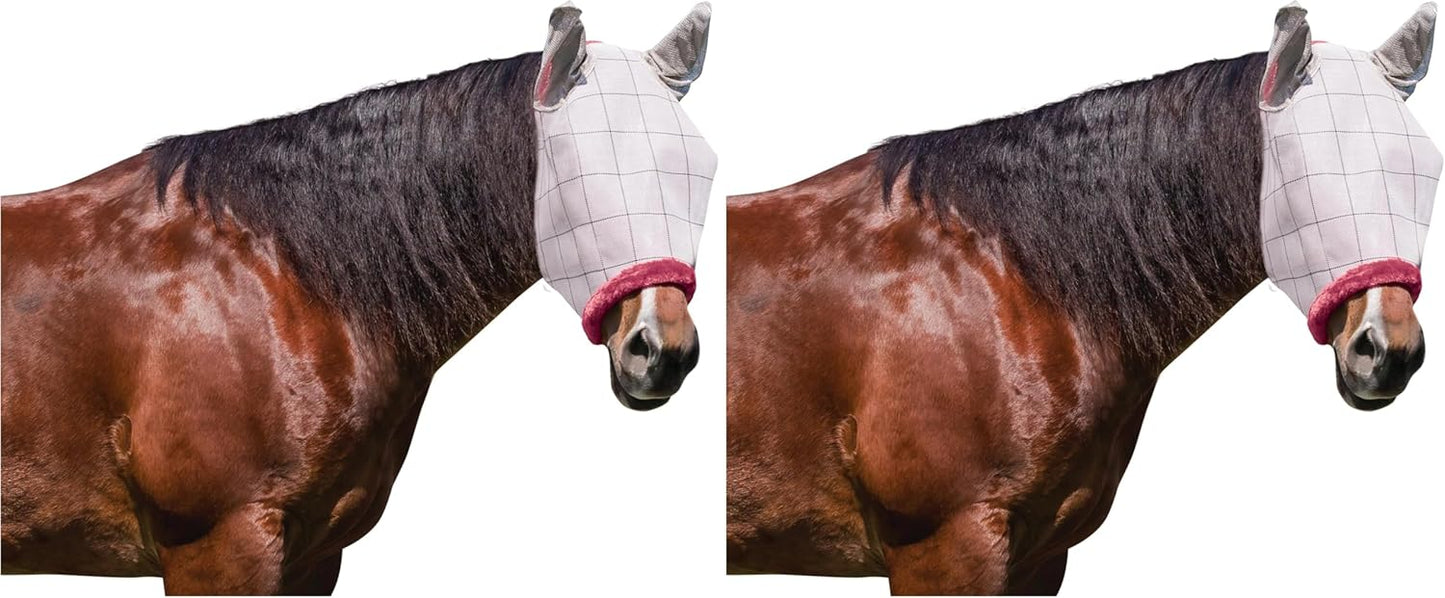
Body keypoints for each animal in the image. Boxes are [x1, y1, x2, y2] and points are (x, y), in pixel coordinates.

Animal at [1, 3, 713, 594]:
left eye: (699, 167)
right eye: (580, 166)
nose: (664, 349)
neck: (281, 278)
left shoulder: (313, 557)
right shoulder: (216, 546)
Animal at [726, 3, 1438, 595]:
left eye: (1425, 167)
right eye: (1305, 166)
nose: (1389, 349)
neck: (1005, 278)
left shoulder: (1038, 558)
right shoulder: (942, 546)